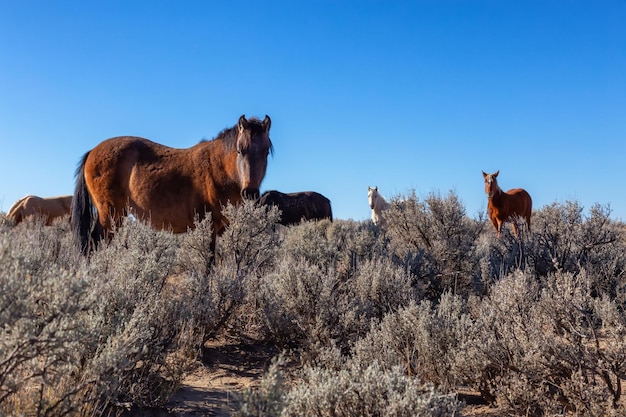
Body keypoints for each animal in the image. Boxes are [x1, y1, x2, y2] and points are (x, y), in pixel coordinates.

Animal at [72, 115, 272, 255]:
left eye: (266, 151)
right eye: (240, 150)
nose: (250, 192)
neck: (218, 168)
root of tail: (93, 151)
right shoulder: (208, 228)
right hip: (110, 214)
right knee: (94, 243)